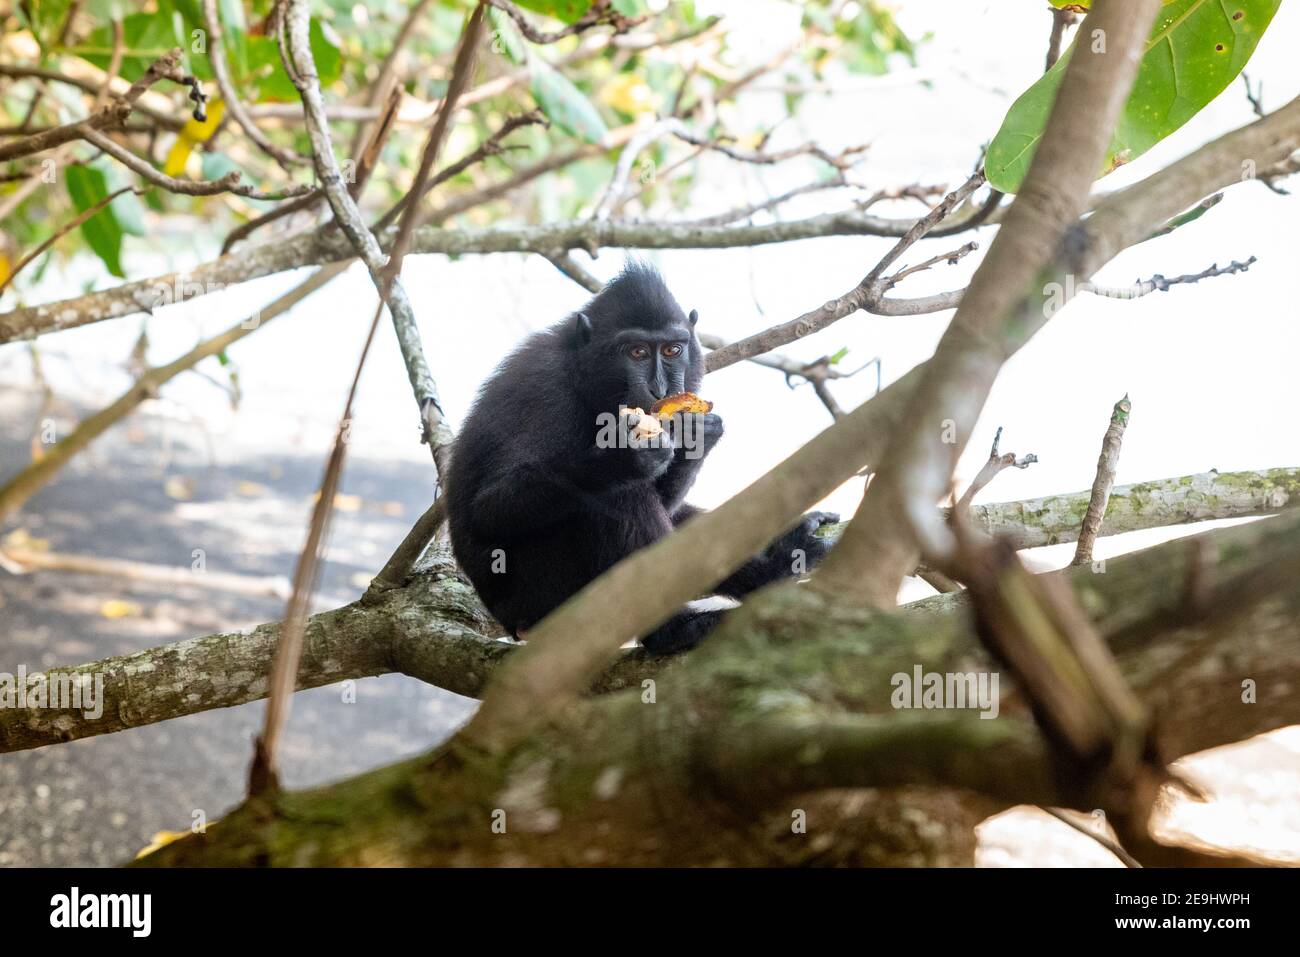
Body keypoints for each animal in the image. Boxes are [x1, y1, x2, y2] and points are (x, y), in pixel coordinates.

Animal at [444, 257, 832, 655]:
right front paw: (624, 455)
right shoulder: (542, 389)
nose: (660, 390)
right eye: (636, 352)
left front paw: (696, 434)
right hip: (543, 595)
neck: (585, 377)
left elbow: (670, 505)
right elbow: (490, 509)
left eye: (673, 350)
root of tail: (512, 623)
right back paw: (674, 630)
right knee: (621, 495)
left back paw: (779, 563)